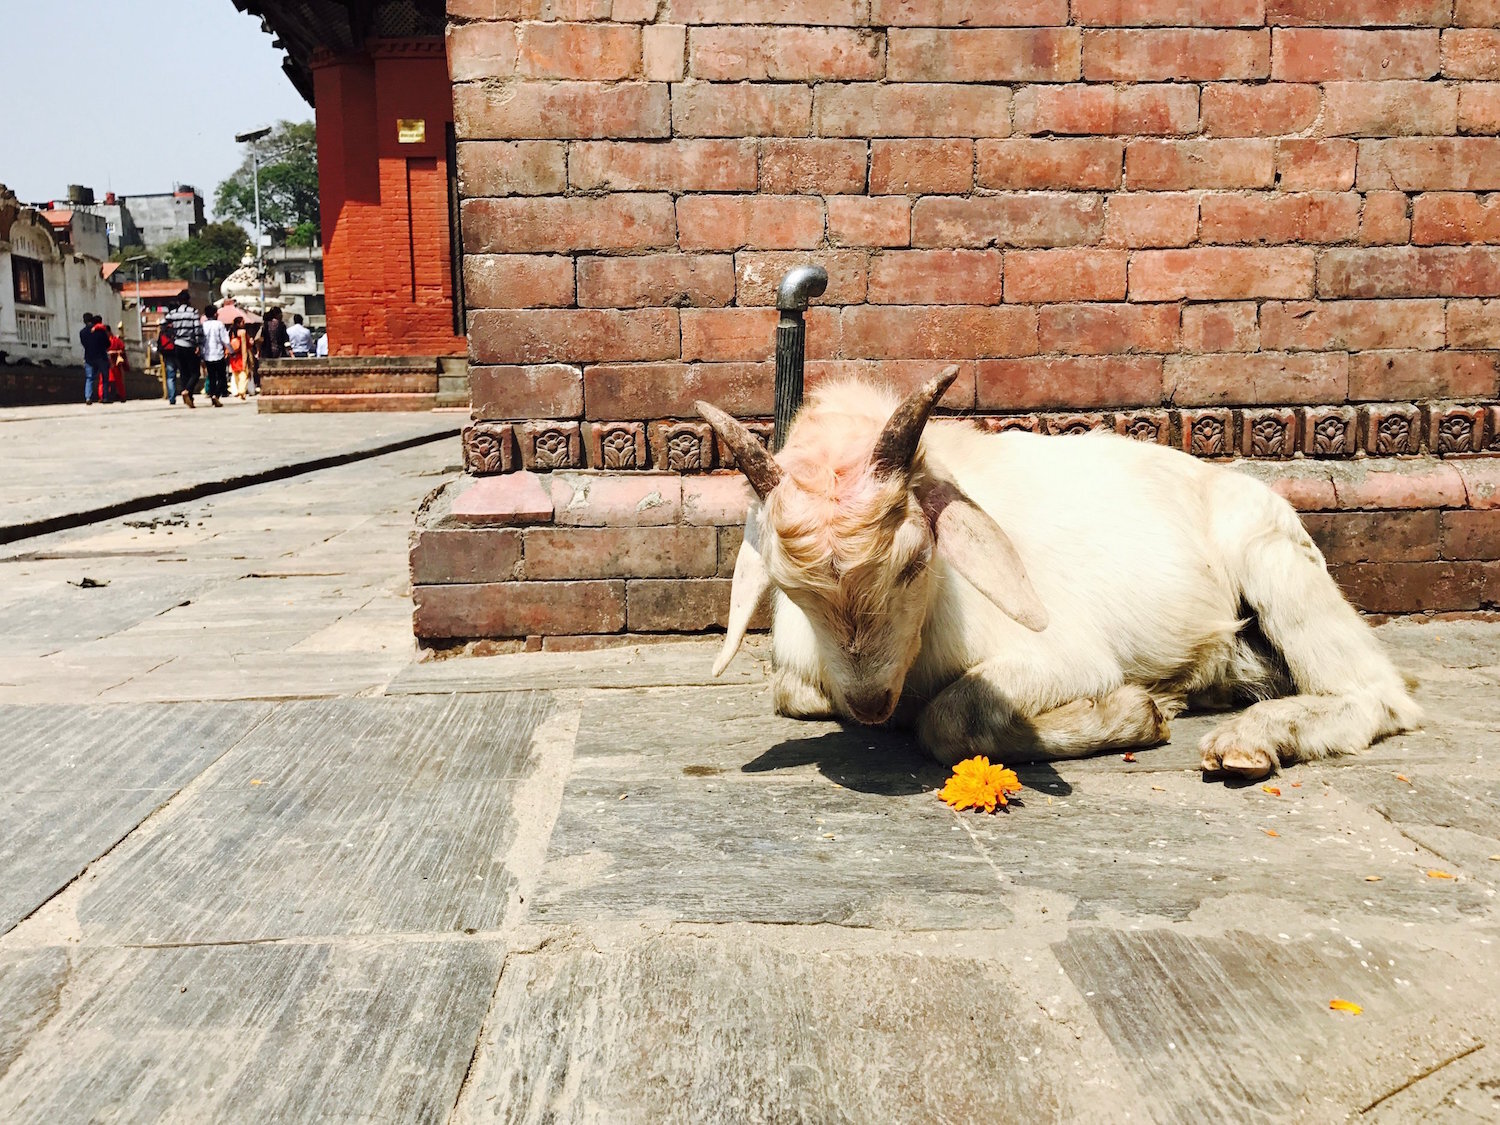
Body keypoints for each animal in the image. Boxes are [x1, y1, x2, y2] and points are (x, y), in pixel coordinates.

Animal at [696, 375, 1422, 780]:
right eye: (792, 589)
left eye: (915, 562)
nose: (872, 705)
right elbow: (792, 693)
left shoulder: (1067, 653)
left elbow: (949, 718)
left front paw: (1138, 712)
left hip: (1274, 556)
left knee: (1378, 693)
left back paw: (1249, 740)